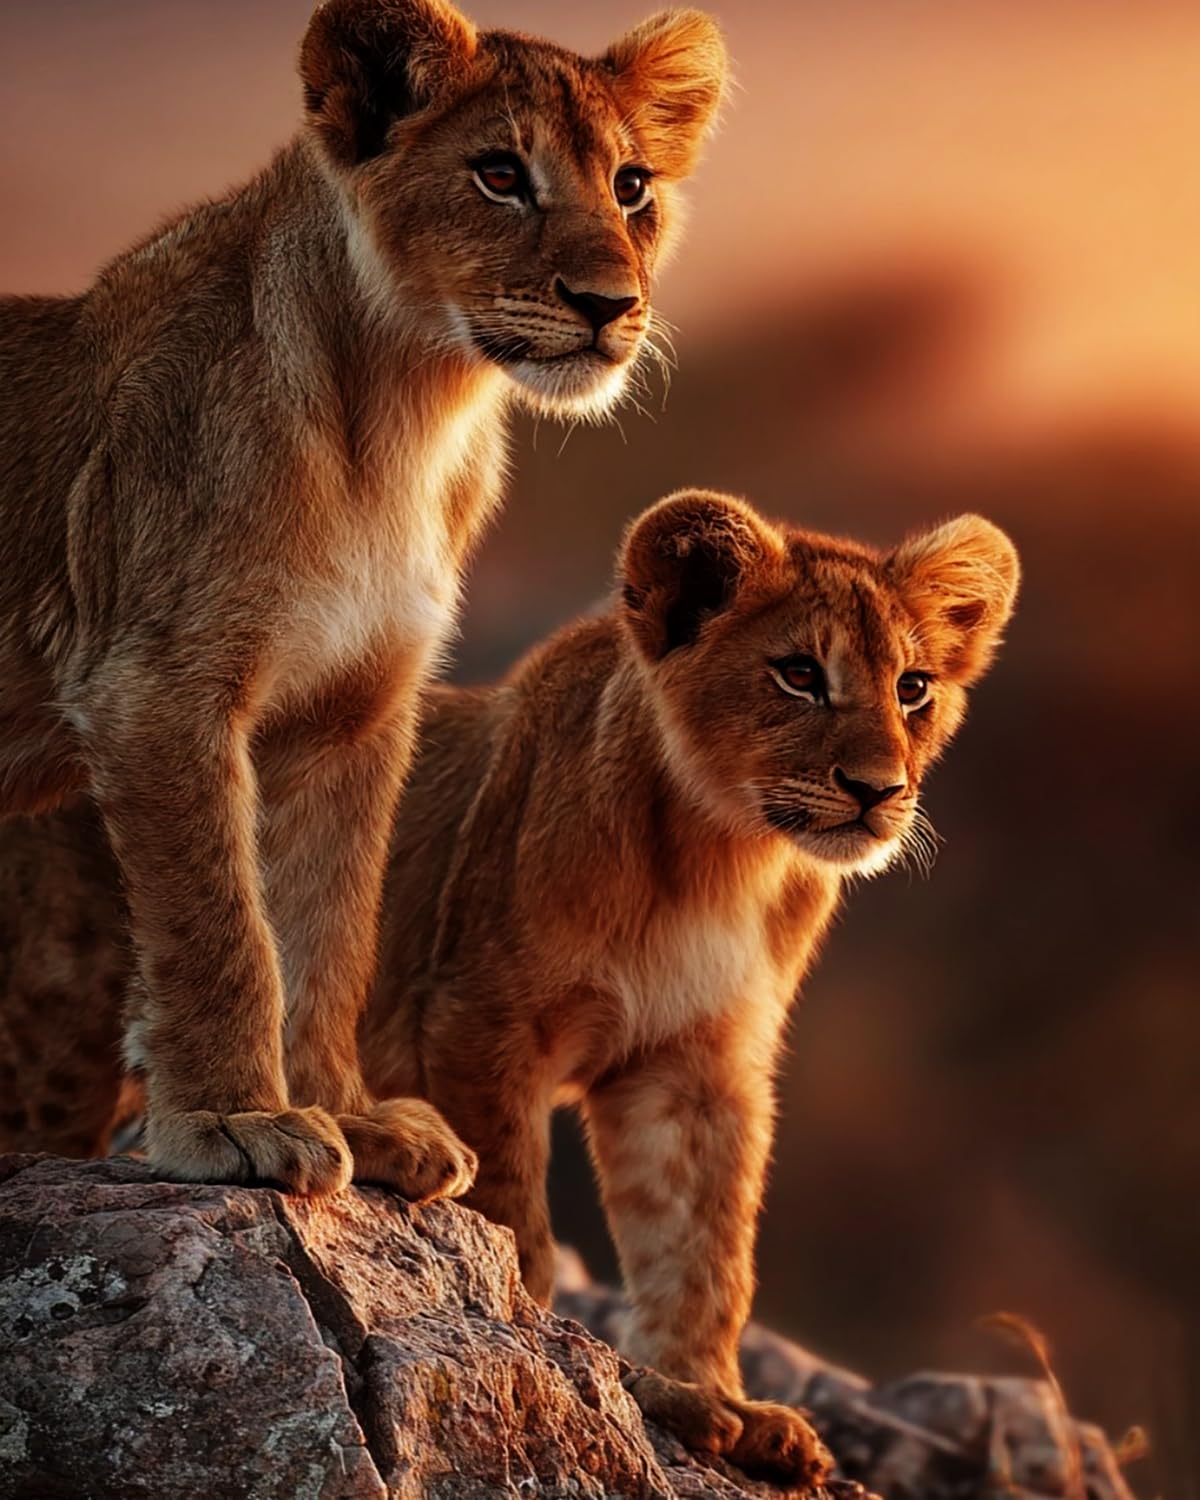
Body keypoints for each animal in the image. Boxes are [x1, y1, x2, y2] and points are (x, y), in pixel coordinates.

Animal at [0, 0, 726, 1197]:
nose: (611, 305)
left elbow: (329, 925)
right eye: (498, 174)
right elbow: (222, 925)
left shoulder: (354, 709)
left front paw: (352, 1117)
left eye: (632, 186)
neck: (402, 413)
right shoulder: (152, 688)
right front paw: (235, 1120)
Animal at [0, 491, 1018, 1486]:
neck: (723, 854)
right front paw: (564, 1364)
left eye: (914, 687)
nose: (878, 790)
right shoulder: (478, 1022)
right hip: (60, 1035)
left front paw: (713, 1401)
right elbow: (517, 1216)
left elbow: (704, 1248)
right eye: (799, 673)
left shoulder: (697, 1066)